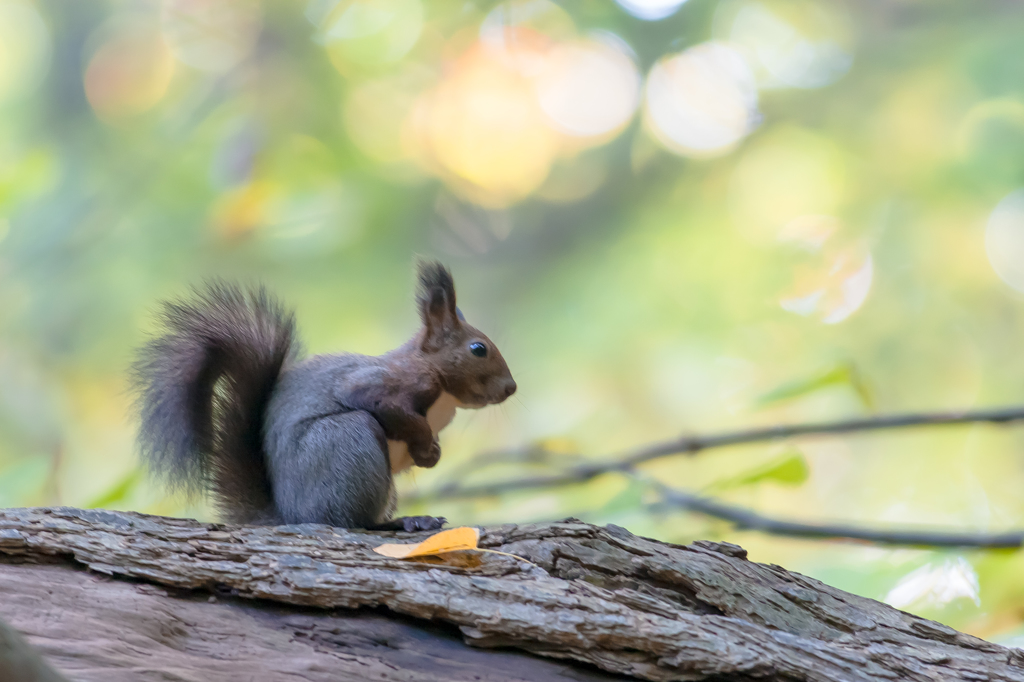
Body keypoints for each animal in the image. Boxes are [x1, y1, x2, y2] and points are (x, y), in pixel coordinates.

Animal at [133, 260, 516, 532]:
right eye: (478, 349)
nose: (511, 388)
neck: (444, 393)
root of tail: (292, 513)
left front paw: (433, 453)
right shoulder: (391, 384)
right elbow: (384, 406)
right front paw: (427, 450)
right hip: (348, 442)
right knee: (352, 522)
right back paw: (403, 522)